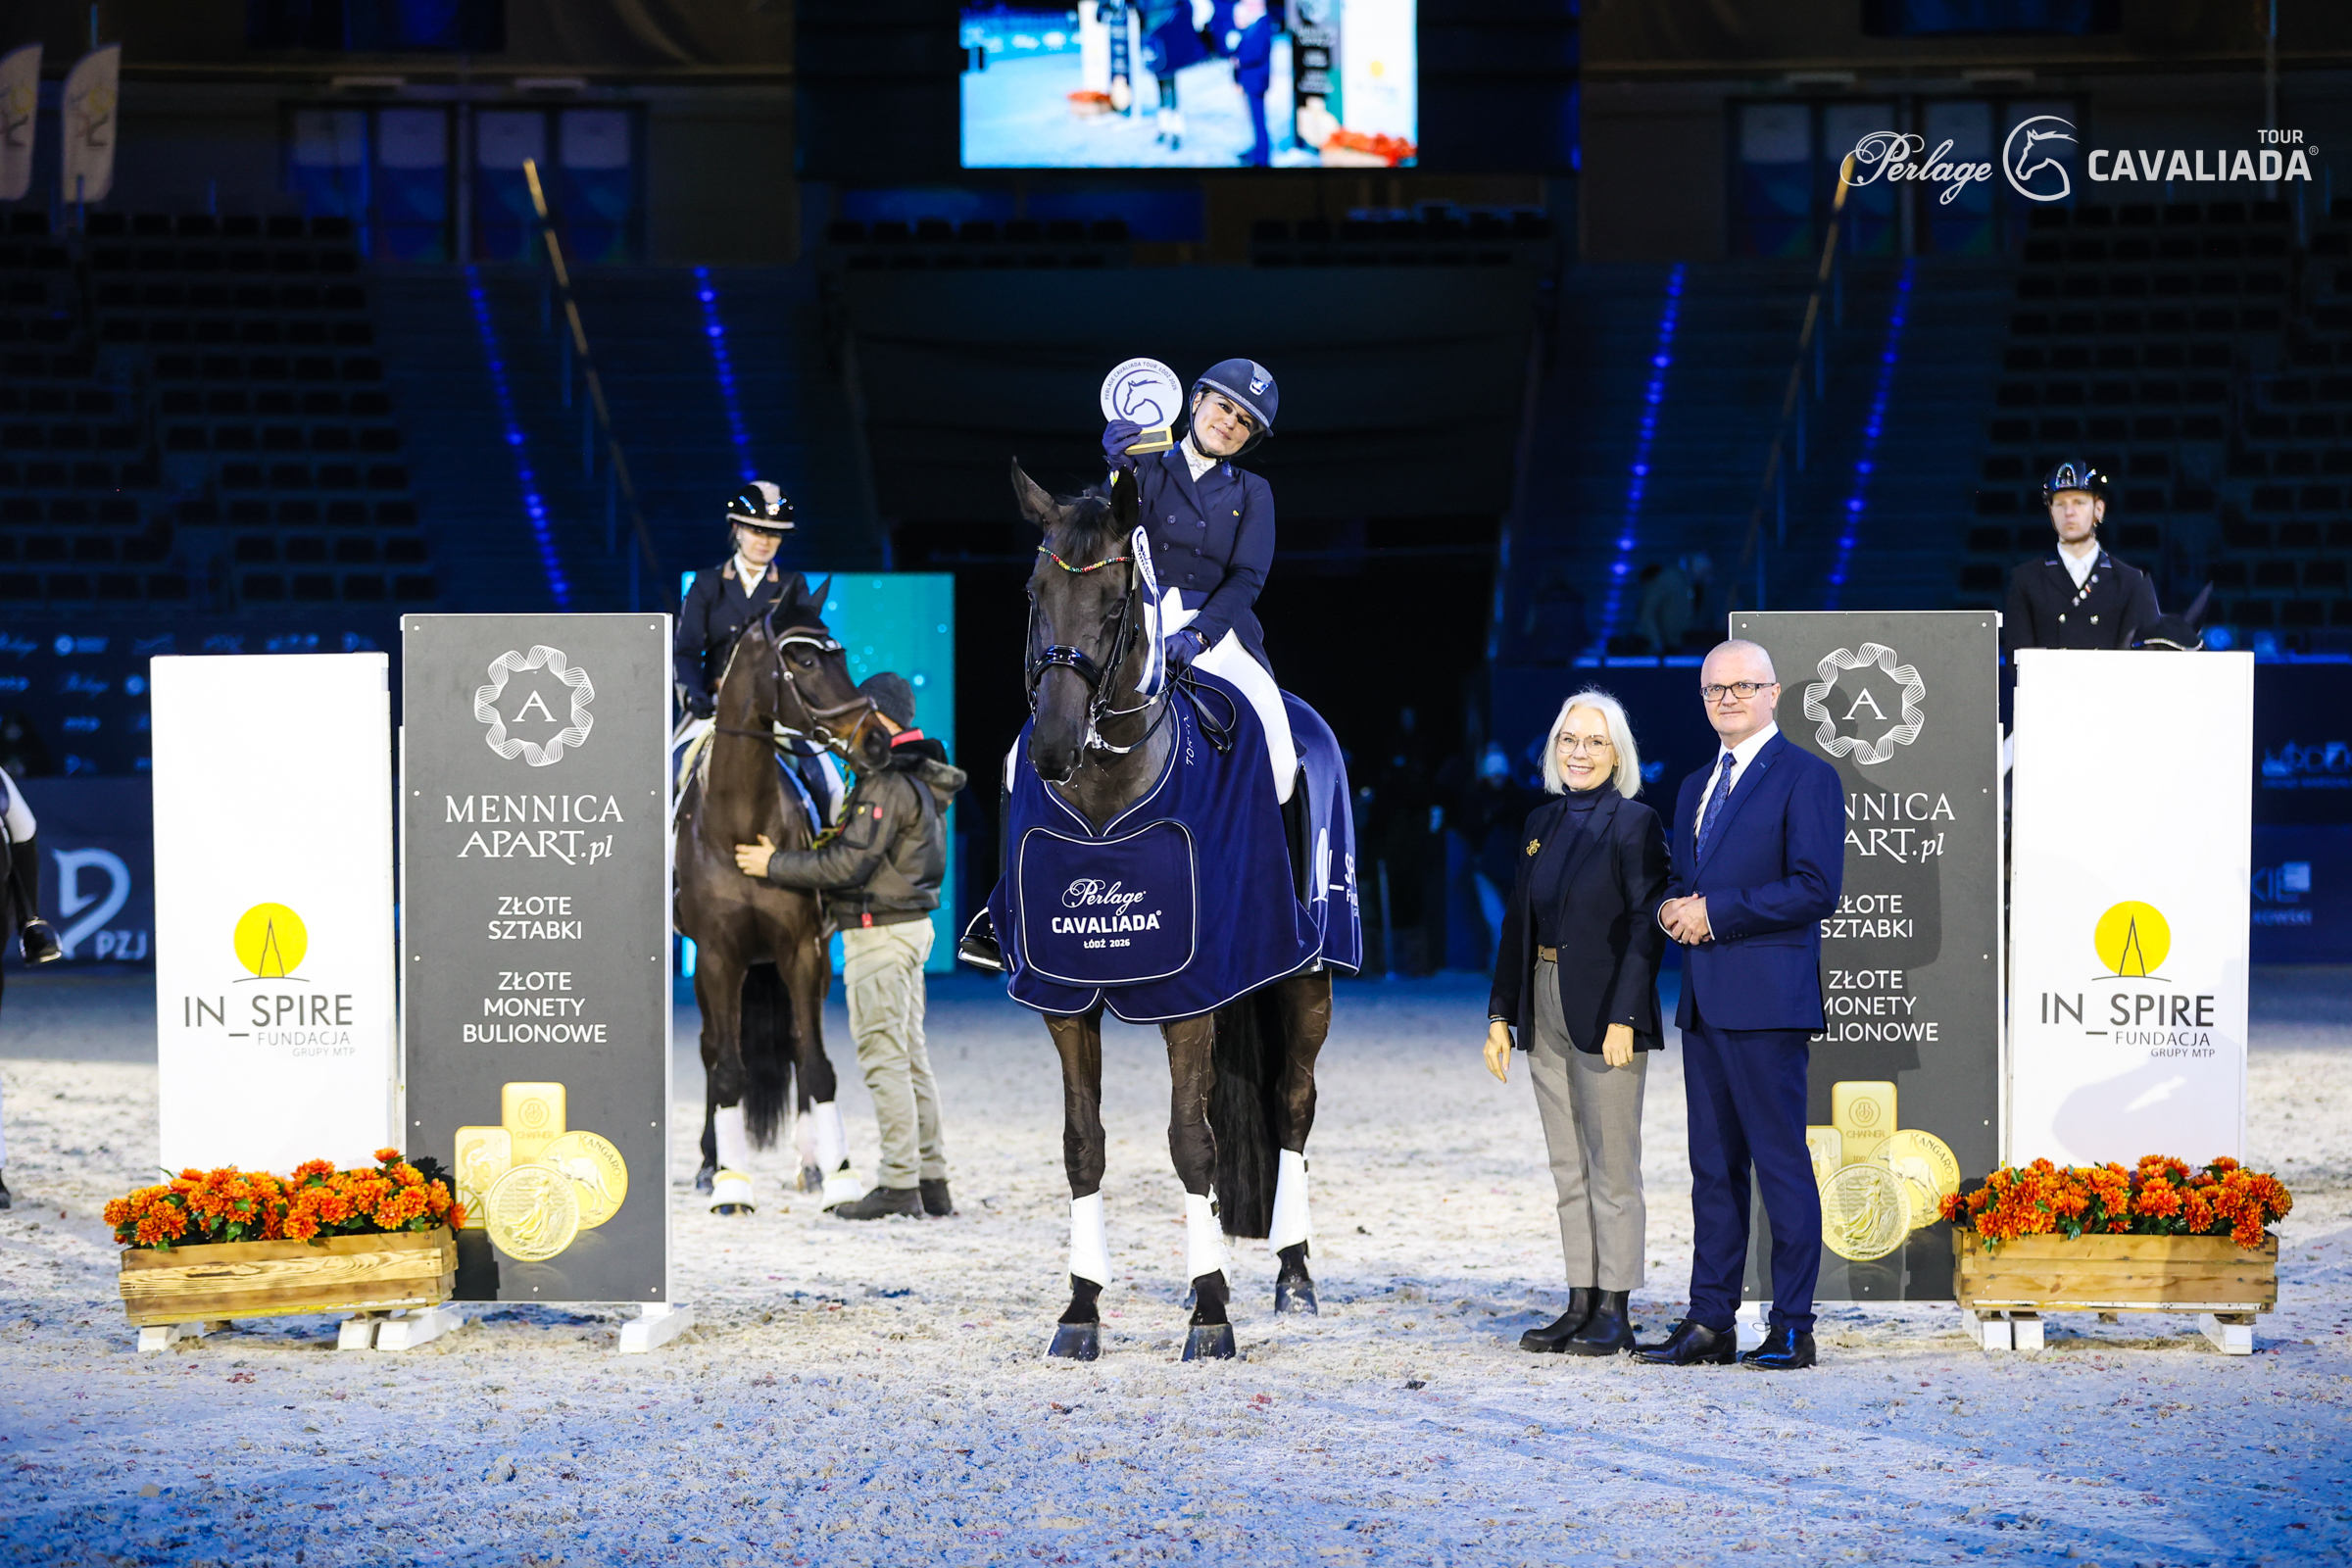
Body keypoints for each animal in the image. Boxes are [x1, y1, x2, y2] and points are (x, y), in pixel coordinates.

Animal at [673, 578, 880, 1214]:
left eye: (841, 655)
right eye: (805, 660)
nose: (877, 739)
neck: (740, 818)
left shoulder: (801, 952)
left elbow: (814, 1066)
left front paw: (841, 1179)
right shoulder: (717, 957)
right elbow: (728, 1069)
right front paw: (730, 1186)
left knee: (789, 1047)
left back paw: (810, 1166)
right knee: (713, 1051)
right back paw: (710, 1166)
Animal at [1005, 459, 1350, 1362]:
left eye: (1116, 603)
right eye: (1034, 592)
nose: (1052, 748)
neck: (1107, 790)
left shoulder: (1188, 995)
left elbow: (1193, 1145)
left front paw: (1210, 1312)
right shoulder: (1064, 996)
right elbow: (1082, 1145)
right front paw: (1080, 1309)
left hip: (1310, 975)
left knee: (1293, 1106)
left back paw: (1294, 1274)